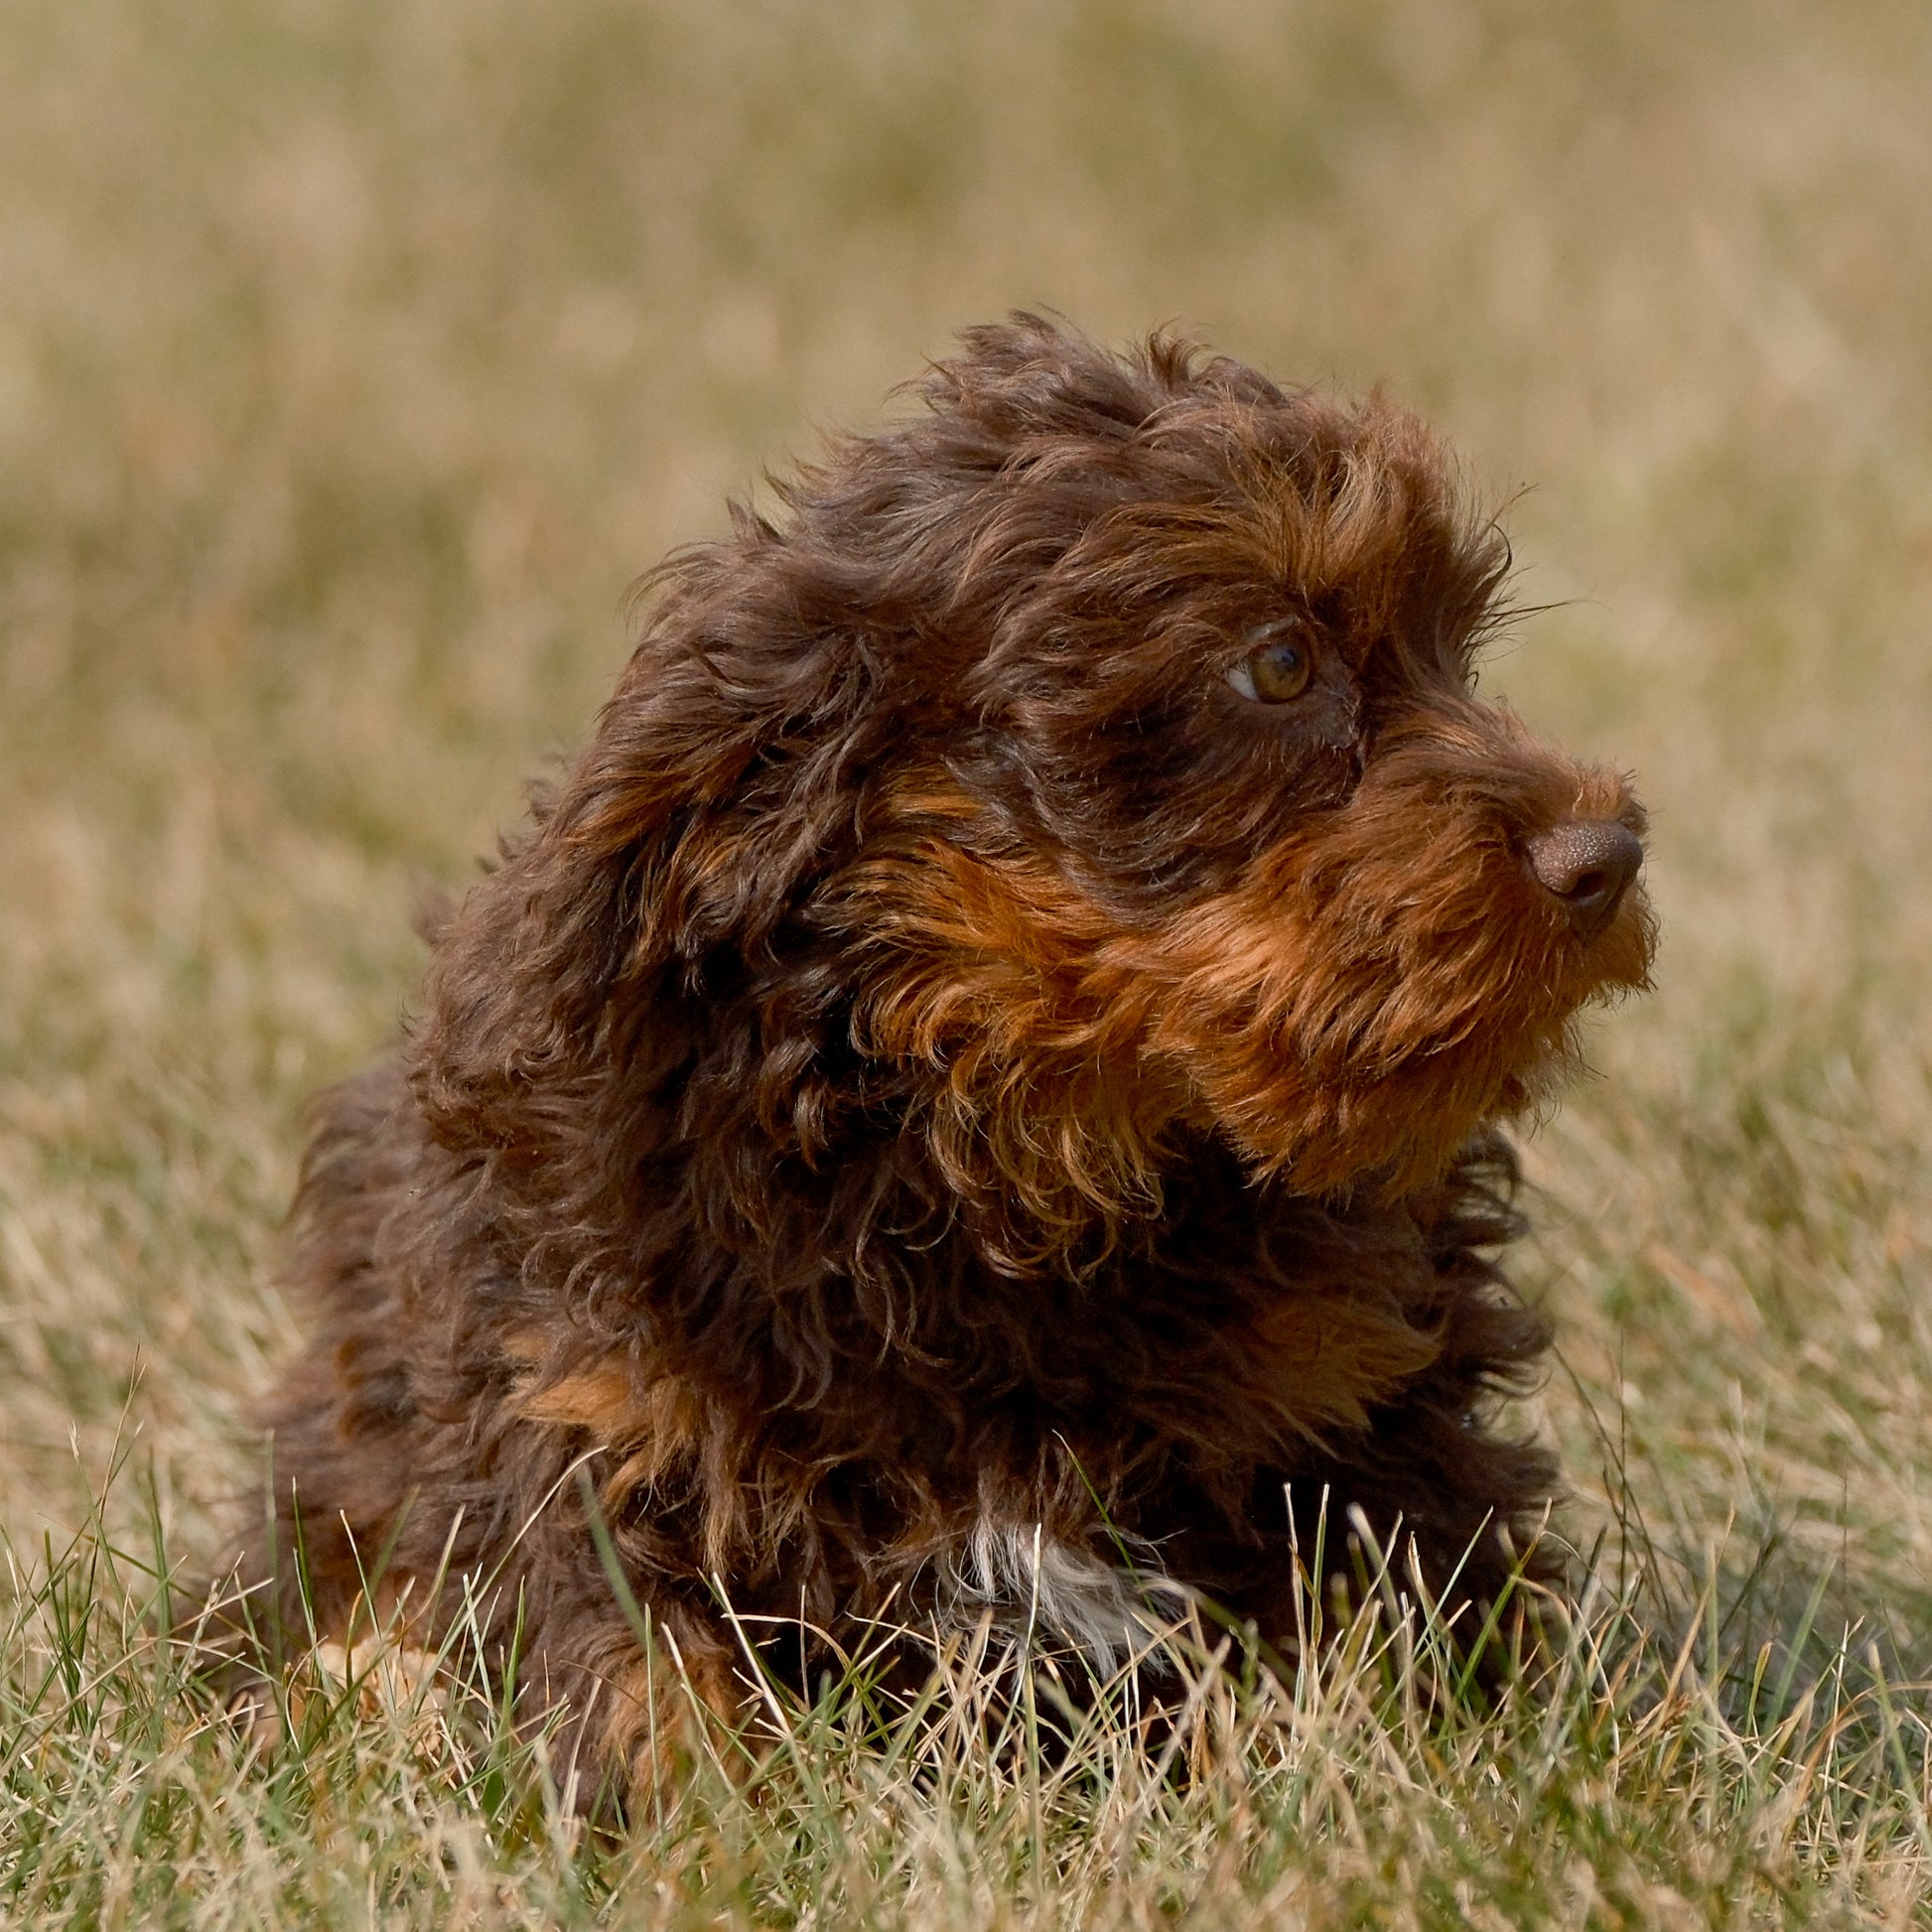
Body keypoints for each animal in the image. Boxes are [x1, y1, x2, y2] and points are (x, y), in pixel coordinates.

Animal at [233, 309, 1653, 1800]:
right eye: (1276, 665)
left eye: (1454, 646)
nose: (1605, 853)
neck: (1016, 1147)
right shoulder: (573, 1400)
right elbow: (636, 1674)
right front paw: (700, 1815)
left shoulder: (1362, 1404)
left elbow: (1402, 1628)